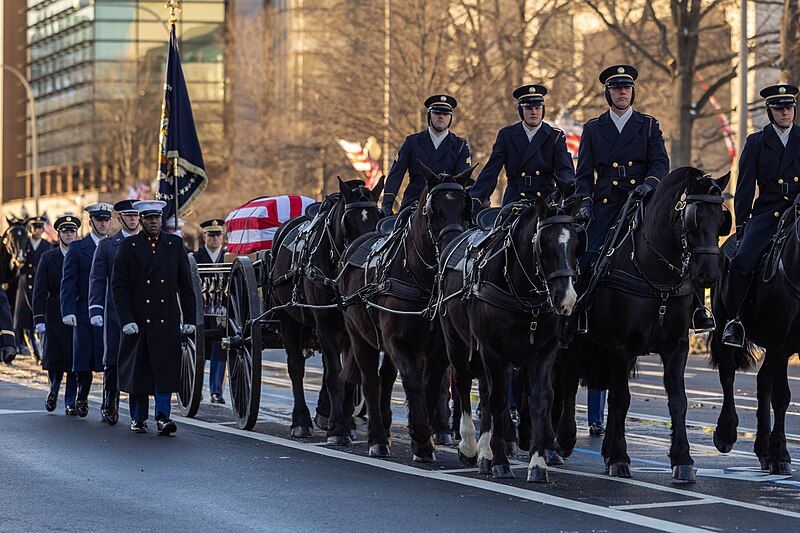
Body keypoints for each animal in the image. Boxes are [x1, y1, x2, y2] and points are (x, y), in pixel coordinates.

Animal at [270, 177, 386, 442]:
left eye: (379, 217)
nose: (363, 262)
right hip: (288, 318)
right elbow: (335, 375)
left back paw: (326, 413)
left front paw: (344, 422)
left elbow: (348, 376)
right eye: (348, 222)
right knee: (296, 366)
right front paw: (339, 428)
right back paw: (301, 420)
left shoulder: (352, 328)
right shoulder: (324, 324)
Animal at [338, 164, 476, 460]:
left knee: (385, 378)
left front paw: (423, 436)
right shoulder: (397, 342)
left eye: (464, 207)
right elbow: (412, 382)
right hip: (359, 337)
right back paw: (376, 438)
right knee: (370, 380)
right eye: (432, 210)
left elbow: (430, 386)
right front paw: (422, 438)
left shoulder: (438, 348)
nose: (452, 246)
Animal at [440, 193, 584, 480]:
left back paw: (485, 451)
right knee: (463, 383)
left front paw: (538, 463)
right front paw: (500, 462)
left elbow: (539, 399)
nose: (567, 299)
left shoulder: (544, 352)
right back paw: (471, 446)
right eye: (544, 245)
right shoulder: (493, 350)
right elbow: (497, 401)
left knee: (485, 391)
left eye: (575, 244)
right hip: (457, 343)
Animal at [556, 167, 732, 482]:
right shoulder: (619, 345)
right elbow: (621, 398)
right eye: (694, 219)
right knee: (568, 385)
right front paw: (618, 456)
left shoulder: (676, 346)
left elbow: (678, 400)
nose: (709, 275)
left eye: (721, 220)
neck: (655, 274)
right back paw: (562, 441)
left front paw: (682, 459)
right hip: (573, 342)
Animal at [708, 194, 800, 474]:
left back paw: (763, 450)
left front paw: (775, 452)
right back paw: (726, 433)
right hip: (725, 326)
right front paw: (781, 454)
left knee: (763, 381)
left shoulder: (781, 345)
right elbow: (782, 397)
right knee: (728, 374)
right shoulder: (781, 343)